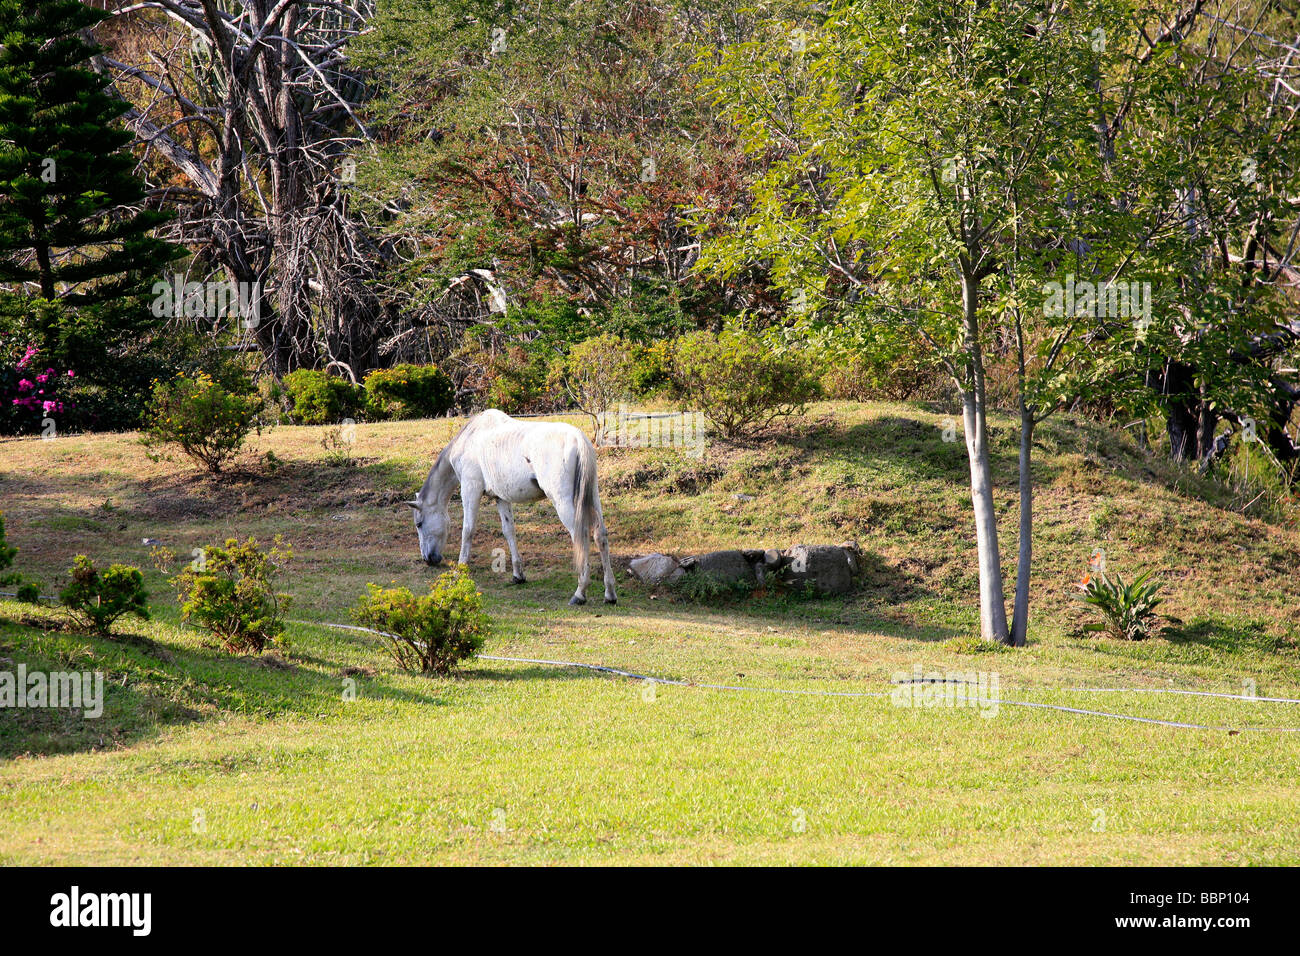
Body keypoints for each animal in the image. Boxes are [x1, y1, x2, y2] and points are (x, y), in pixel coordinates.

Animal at [407, 409, 617, 605]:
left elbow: (468, 530)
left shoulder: (470, 489)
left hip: (563, 501)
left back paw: (580, 593)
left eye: (419, 524)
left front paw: (460, 569)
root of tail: (578, 438)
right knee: (600, 535)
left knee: (581, 536)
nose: (428, 559)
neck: (471, 438)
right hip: (593, 497)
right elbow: (509, 531)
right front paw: (518, 575)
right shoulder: (501, 498)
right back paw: (610, 593)